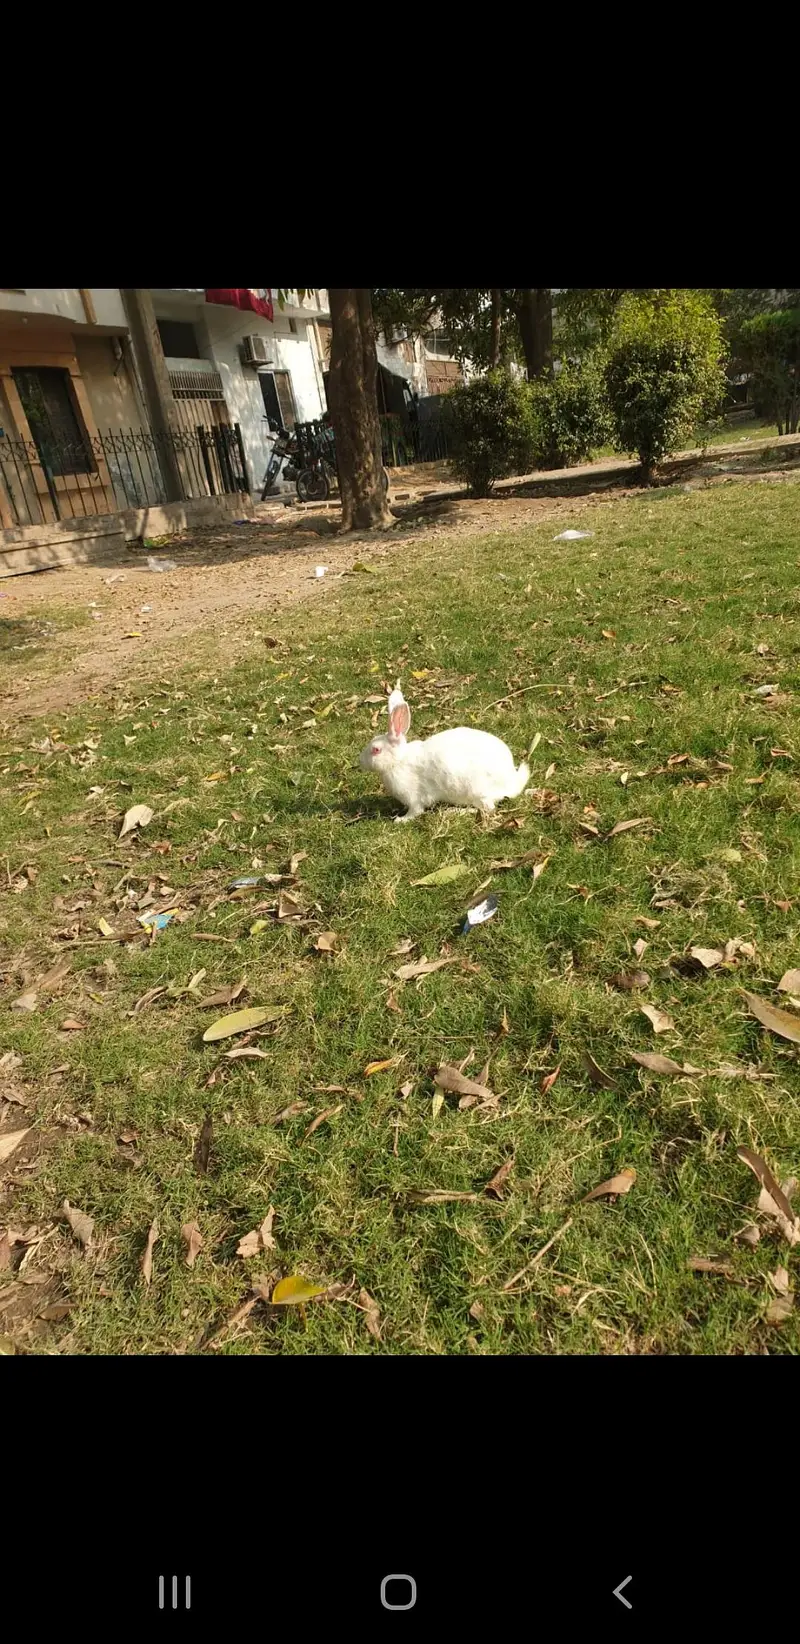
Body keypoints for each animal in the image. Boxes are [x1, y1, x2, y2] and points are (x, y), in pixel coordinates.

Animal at [359, 686, 531, 822]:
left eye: (376, 750)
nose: (360, 761)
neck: (398, 761)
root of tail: (512, 783)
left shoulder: (414, 799)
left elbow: (415, 811)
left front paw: (401, 820)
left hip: (476, 791)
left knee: (486, 808)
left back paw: (455, 811)